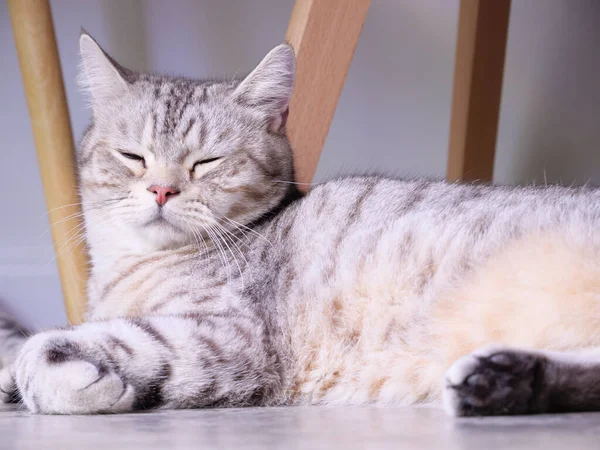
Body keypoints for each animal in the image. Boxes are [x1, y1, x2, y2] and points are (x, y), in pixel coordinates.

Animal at [1, 32, 600, 418]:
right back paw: (503, 381)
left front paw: (66, 375)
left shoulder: (231, 336)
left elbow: (69, 344)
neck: (129, 268)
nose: (162, 189)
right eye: (132, 157)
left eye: (207, 162)